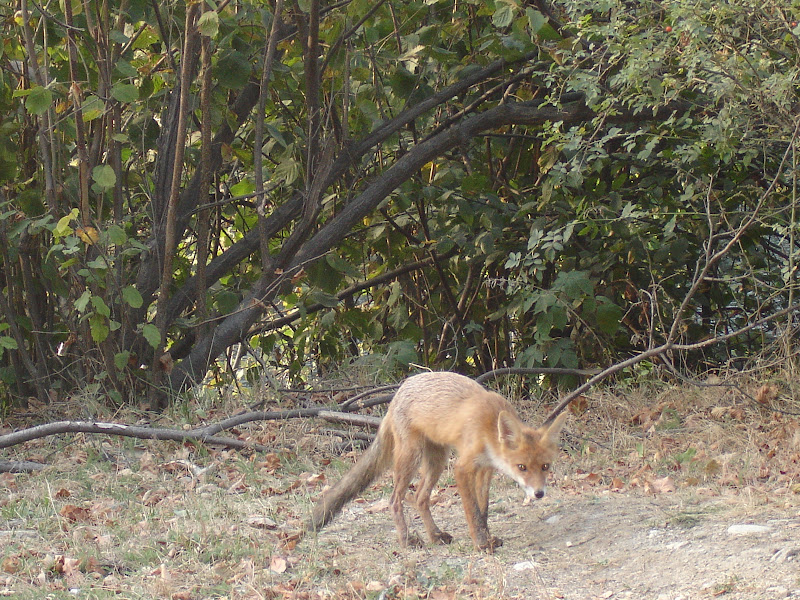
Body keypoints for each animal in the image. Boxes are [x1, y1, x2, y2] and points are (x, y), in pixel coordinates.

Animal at [308, 370, 568, 552]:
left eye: (545, 467)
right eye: (522, 467)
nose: (539, 494)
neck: (488, 428)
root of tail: (397, 394)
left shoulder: (486, 468)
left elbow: (483, 510)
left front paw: (487, 537)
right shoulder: (463, 468)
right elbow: (473, 511)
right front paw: (481, 544)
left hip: (437, 461)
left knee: (420, 498)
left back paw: (434, 536)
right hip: (411, 457)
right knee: (396, 500)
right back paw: (406, 540)